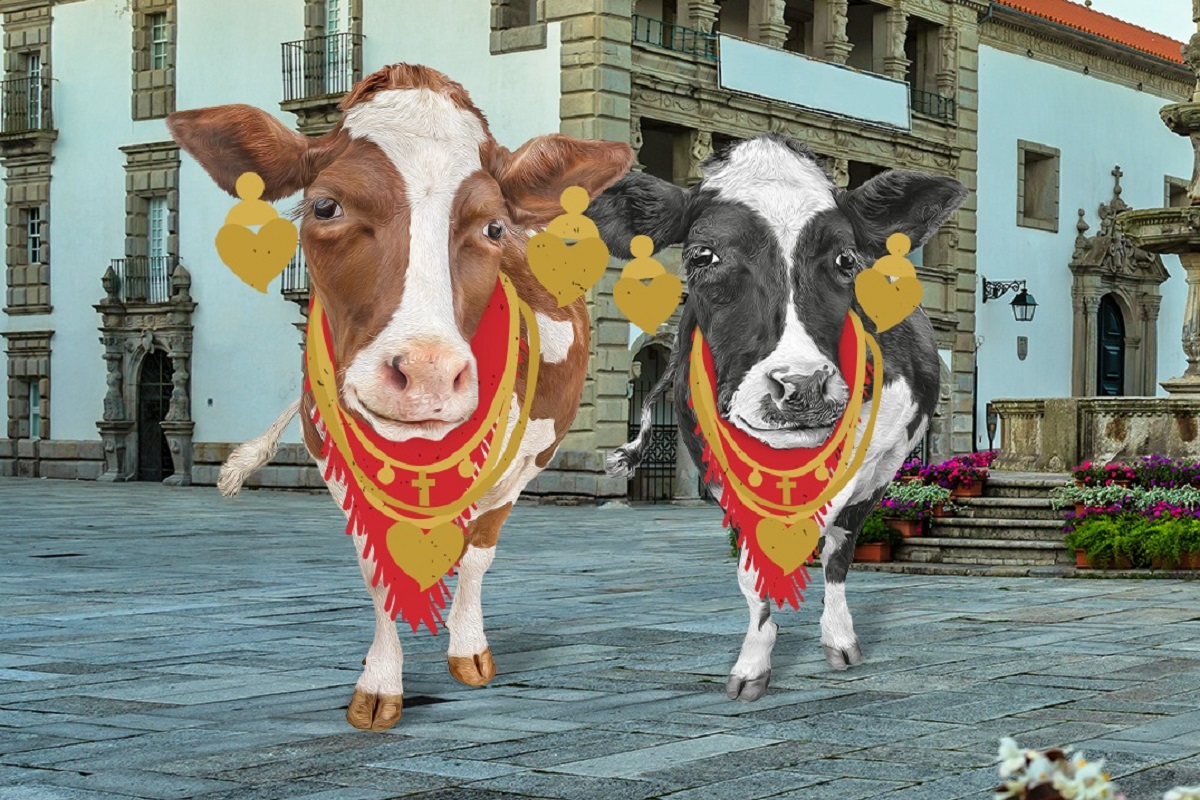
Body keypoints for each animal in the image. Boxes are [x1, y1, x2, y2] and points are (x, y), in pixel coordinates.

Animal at [166, 63, 633, 730]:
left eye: (493, 227)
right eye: (325, 205)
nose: (428, 373)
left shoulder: (517, 464)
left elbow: (475, 554)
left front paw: (464, 649)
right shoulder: (332, 462)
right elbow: (377, 569)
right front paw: (379, 685)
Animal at [589, 133, 965, 701]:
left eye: (846, 258)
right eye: (702, 254)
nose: (802, 385)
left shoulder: (865, 460)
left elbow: (827, 541)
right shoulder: (713, 468)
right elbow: (751, 570)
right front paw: (752, 666)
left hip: (884, 468)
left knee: (839, 551)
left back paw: (840, 638)